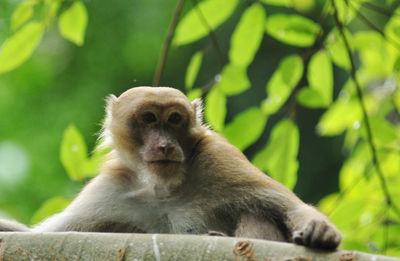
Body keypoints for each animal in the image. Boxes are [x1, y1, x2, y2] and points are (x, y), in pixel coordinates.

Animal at [0, 86, 342, 249]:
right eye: (150, 119)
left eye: (174, 119)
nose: (164, 144)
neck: (162, 188)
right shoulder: (111, 189)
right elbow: (45, 235)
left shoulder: (220, 160)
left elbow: (288, 206)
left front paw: (320, 228)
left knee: (255, 211)